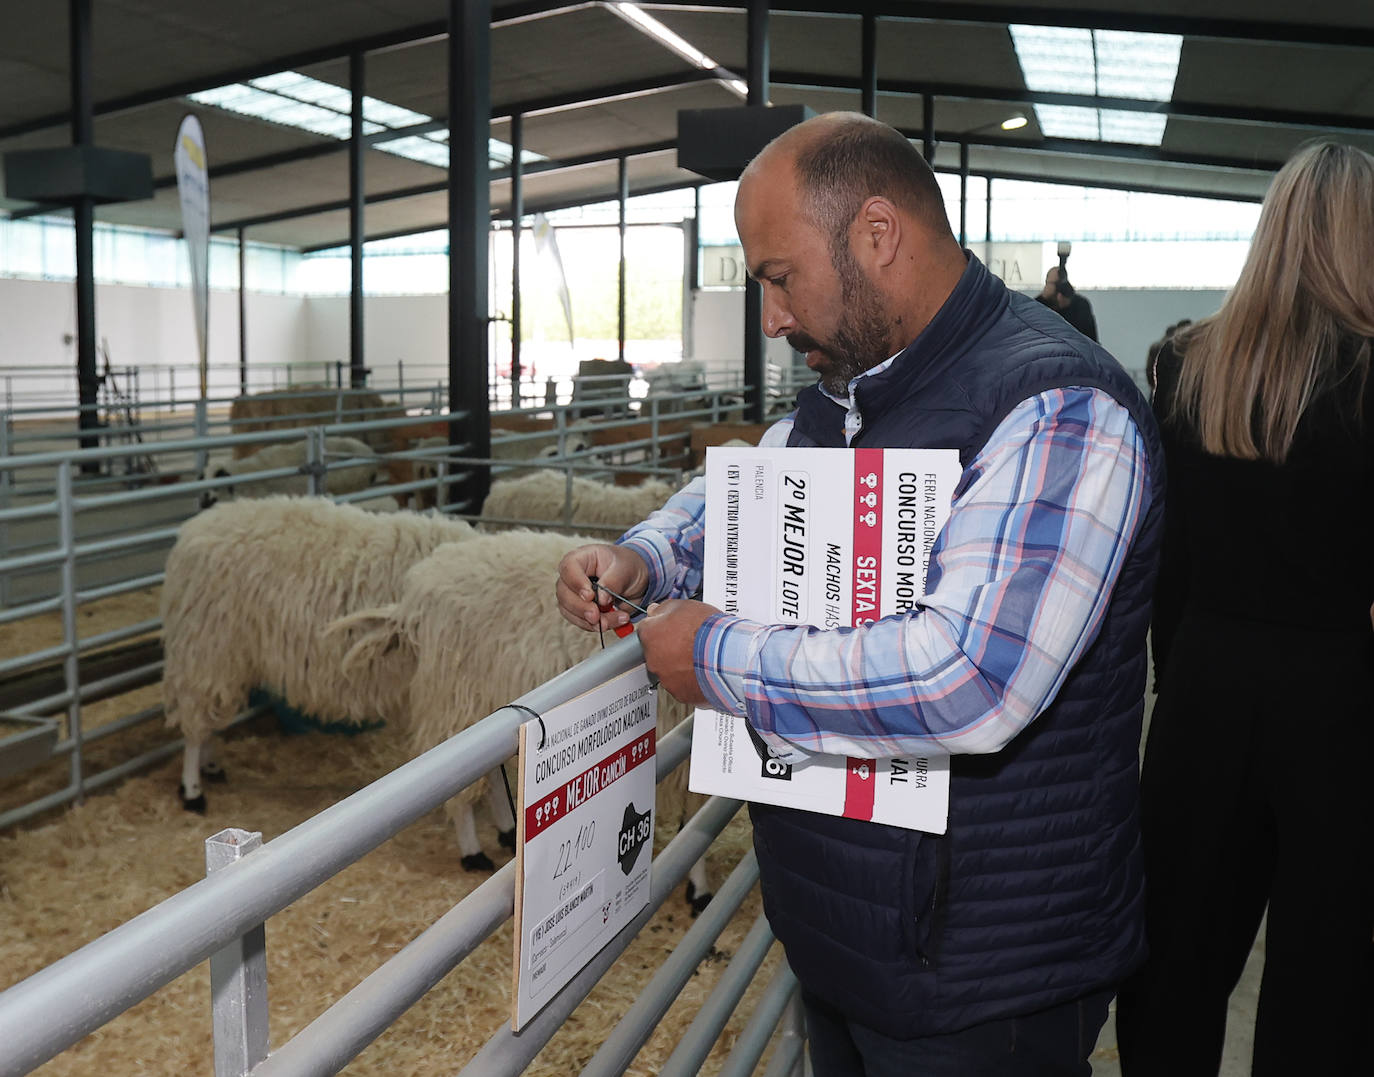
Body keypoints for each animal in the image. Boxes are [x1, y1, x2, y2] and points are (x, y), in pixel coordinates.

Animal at [160, 497, 502, 857]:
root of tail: (196, 526)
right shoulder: (457, 690)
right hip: (205, 645)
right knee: (194, 723)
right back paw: (193, 789)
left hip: (220, 655)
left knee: (206, 716)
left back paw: (211, 766)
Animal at [336, 530, 714, 906]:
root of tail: (417, 587)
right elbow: (695, 814)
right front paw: (699, 888)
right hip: (454, 697)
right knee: (458, 786)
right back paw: (472, 851)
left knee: (488, 771)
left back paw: (506, 830)